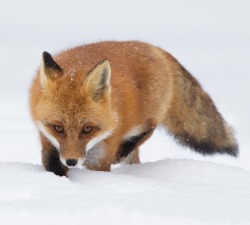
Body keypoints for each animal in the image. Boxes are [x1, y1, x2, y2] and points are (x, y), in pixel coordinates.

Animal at [28, 41, 236, 177]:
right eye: (58, 128)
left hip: (145, 119)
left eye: (87, 129)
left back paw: (123, 151)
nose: (71, 161)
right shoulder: (47, 138)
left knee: (149, 129)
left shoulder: (103, 151)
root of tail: (154, 48)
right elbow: (52, 166)